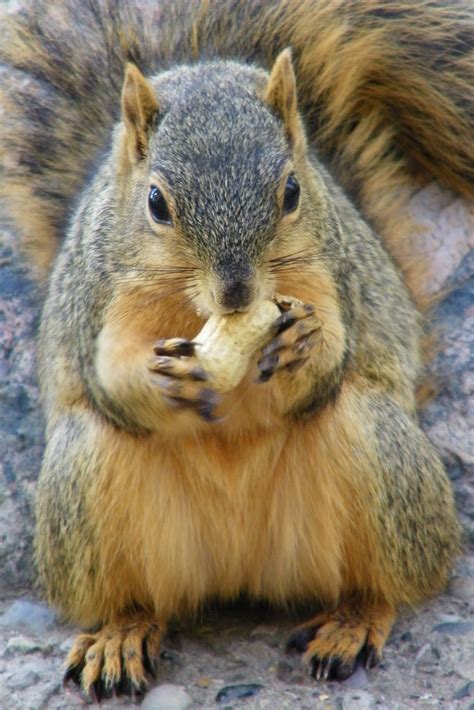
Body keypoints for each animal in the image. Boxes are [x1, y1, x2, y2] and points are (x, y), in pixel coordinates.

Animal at [0, 0, 470, 704]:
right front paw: (161, 378)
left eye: (293, 192)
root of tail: (239, 574)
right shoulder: (101, 300)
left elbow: (330, 353)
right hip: (83, 484)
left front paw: (305, 343)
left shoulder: (328, 275)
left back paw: (353, 622)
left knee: (393, 581)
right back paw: (120, 635)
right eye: (156, 202)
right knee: (139, 597)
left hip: (379, 450)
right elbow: (109, 372)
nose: (237, 291)